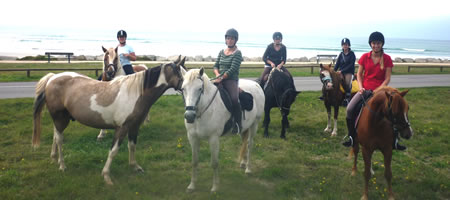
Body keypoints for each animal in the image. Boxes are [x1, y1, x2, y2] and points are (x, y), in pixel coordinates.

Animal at [32, 55, 185, 184]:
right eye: (182, 74)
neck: (136, 93)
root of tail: (52, 78)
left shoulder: (134, 127)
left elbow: (132, 146)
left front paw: (135, 166)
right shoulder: (121, 128)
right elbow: (113, 151)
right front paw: (106, 176)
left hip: (59, 120)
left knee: (55, 136)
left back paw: (54, 158)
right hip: (60, 119)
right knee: (59, 139)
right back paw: (62, 165)